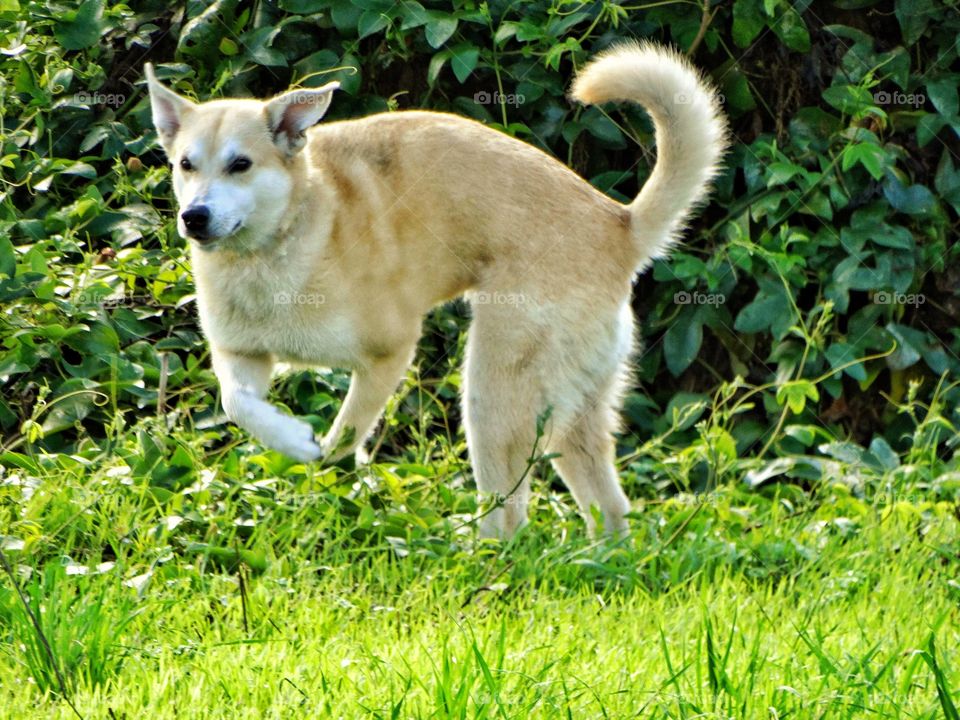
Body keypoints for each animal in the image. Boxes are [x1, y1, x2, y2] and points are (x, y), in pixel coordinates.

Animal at [144, 39, 728, 536]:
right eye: (185, 164)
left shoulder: (388, 353)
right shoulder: (242, 355)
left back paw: (482, 557)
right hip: (574, 410)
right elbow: (238, 403)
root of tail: (619, 225)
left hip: (493, 395)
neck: (278, 241)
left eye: (241, 165)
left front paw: (324, 457)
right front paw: (291, 439)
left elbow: (347, 431)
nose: (194, 218)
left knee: (508, 512)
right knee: (607, 506)